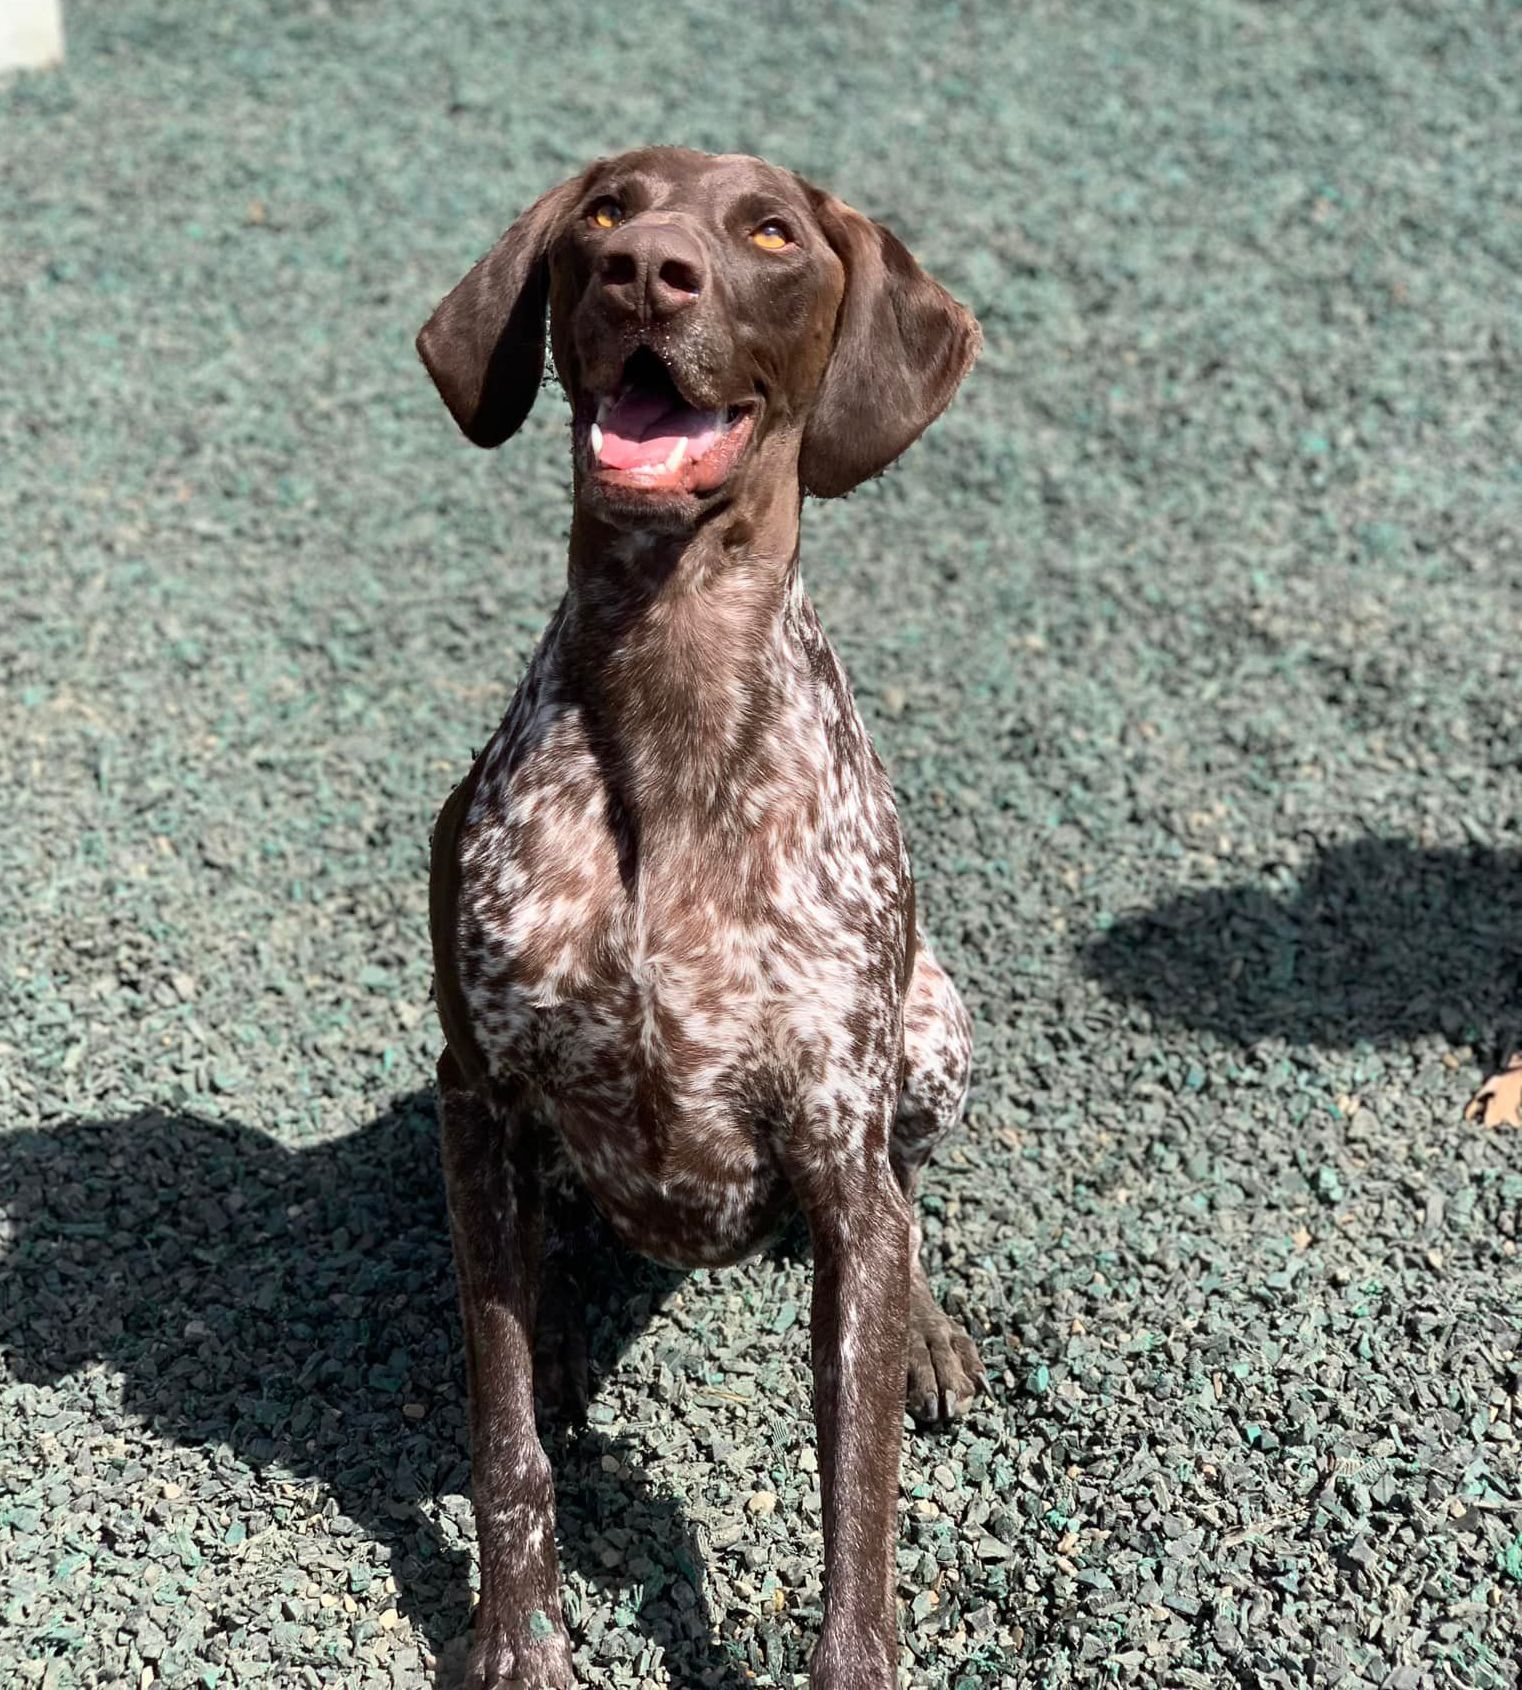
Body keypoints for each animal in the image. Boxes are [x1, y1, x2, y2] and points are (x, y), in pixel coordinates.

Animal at [418, 148, 986, 1690]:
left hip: (937, 1028)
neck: (670, 683)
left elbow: (856, 1503)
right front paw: (517, 1643)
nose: (644, 273)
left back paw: (925, 1323)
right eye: (605, 213)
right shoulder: (475, 1091)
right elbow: (505, 1441)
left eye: (772, 235)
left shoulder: (839, 1140)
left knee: (908, 1202)